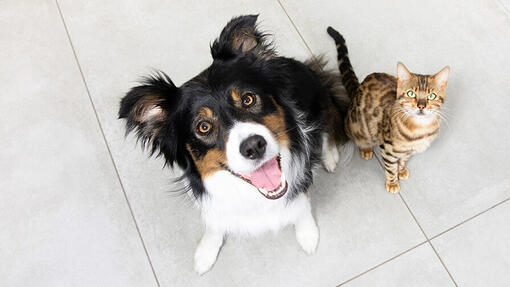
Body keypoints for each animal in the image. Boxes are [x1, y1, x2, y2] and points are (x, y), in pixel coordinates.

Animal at [119, 14, 350, 276]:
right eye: (203, 127)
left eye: (248, 99)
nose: (254, 146)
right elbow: (214, 223)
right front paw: (206, 252)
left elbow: (300, 206)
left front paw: (307, 234)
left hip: (318, 95)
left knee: (329, 120)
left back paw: (330, 155)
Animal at [326, 26, 450, 194]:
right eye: (411, 93)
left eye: (432, 96)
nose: (421, 106)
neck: (420, 130)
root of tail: (358, 88)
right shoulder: (388, 149)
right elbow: (391, 168)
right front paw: (392, 183)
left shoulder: (408, 151)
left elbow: (403, 160)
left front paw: (402, 170)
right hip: (357, 128)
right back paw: (366, 149)